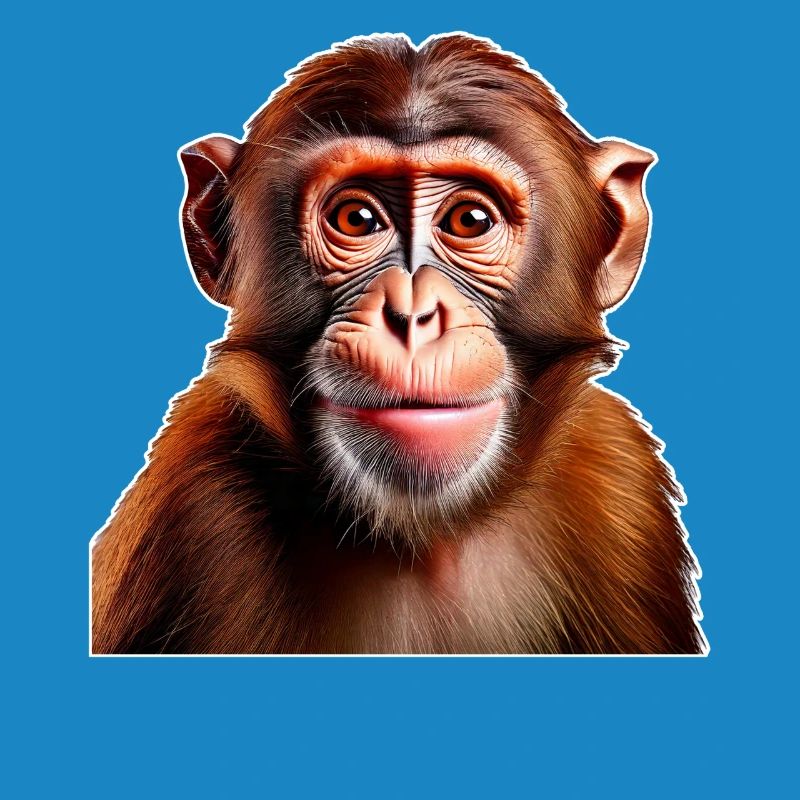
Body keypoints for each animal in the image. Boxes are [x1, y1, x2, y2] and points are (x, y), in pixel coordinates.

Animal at [91, 33, 706, 655]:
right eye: (356, 218)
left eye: (470, 219)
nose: (412, 314)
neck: (422, 540)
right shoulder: (191, 505)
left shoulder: (620, 476)